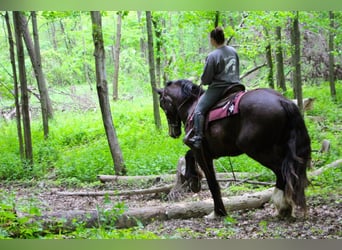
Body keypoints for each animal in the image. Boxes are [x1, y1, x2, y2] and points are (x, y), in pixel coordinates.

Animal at [156, 79, 312, 219]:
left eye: (162, 103)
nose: (173, 132)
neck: (192, 107)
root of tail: (281, 101)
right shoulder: (207, 152)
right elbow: (188, 155)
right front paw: (194, 179)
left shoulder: (200, 151)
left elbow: (212, 182)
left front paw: (218, 212)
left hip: (258, 151)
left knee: (281, 172)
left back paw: (282, 207)